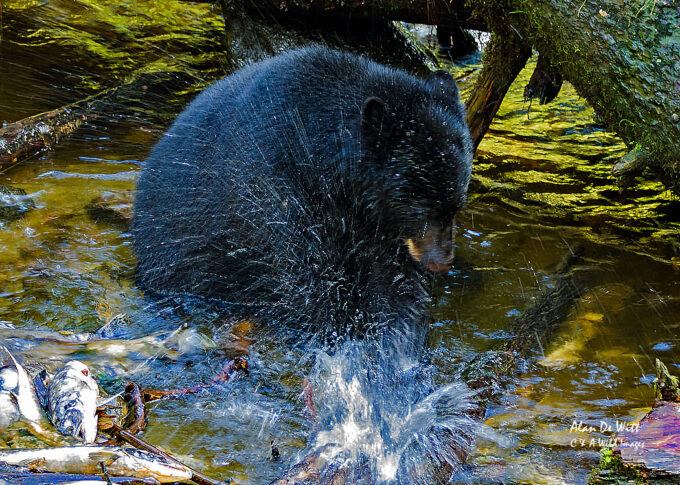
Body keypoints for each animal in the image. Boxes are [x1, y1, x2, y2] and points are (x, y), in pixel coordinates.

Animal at [132, 46, 472, 339]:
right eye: (421, 205)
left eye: (455, 205)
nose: (441, 262)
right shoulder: (276, 192)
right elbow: (305, 278)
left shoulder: (372, 221)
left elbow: (390, 278)